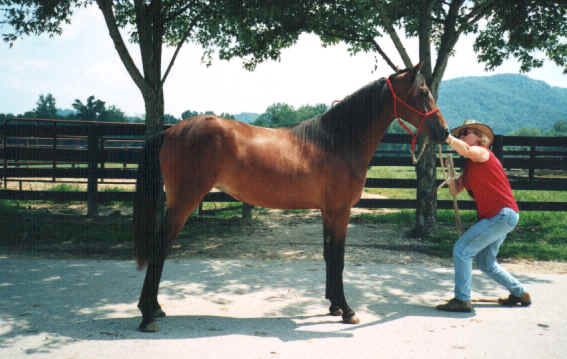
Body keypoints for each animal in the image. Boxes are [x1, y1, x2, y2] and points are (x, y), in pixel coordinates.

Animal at [132, 63, 448, 334]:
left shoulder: (328, 211)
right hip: (182, 203)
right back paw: (148, 316)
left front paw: (334, 305)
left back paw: (155, 308)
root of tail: (170, 131)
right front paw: (347, 310)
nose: (443, 132)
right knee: (160, 247)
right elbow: (339, 258)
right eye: (423, 92)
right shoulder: (340, 211)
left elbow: (329, 255)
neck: (337, 141)